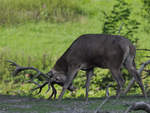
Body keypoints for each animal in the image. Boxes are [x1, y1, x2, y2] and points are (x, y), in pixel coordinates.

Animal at [7, 33, 146, 101]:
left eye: (58, 80)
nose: (73, 89)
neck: (68, 57)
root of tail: (129, 45)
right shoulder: (90, 67)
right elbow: (87, 84)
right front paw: (86, 99)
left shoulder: (75, 64)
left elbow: (69, 80)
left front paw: (59, 99)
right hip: (130, 61)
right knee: (138, 76)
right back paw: (144, 96)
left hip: (114, 64)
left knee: (121, 80)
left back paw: (116, 98)